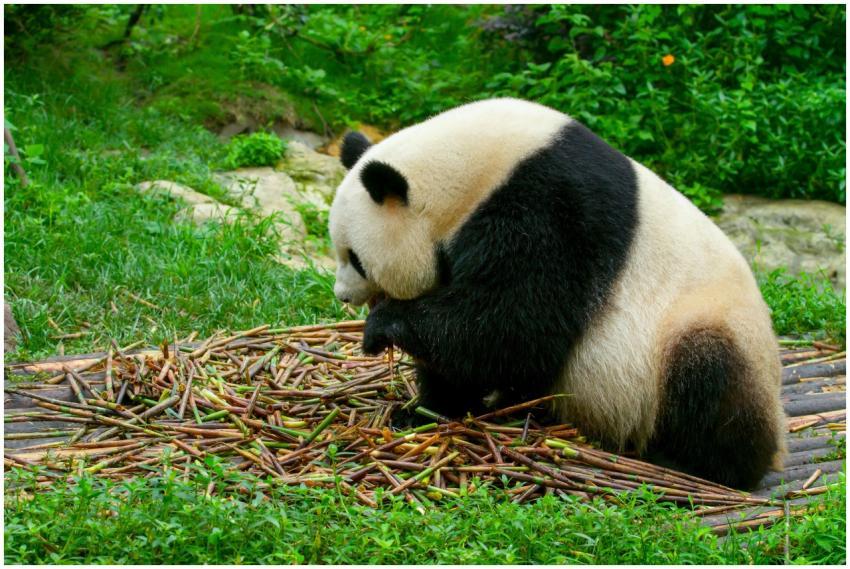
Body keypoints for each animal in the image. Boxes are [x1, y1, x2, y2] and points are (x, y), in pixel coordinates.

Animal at [328, 98, 785, 489]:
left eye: (356, 258)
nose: (342, 296)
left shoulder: (552, 209)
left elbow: (513, 326)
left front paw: (383, 327)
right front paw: (423, 410)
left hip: (705, 328)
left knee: (709, 379)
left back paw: (695, 463)